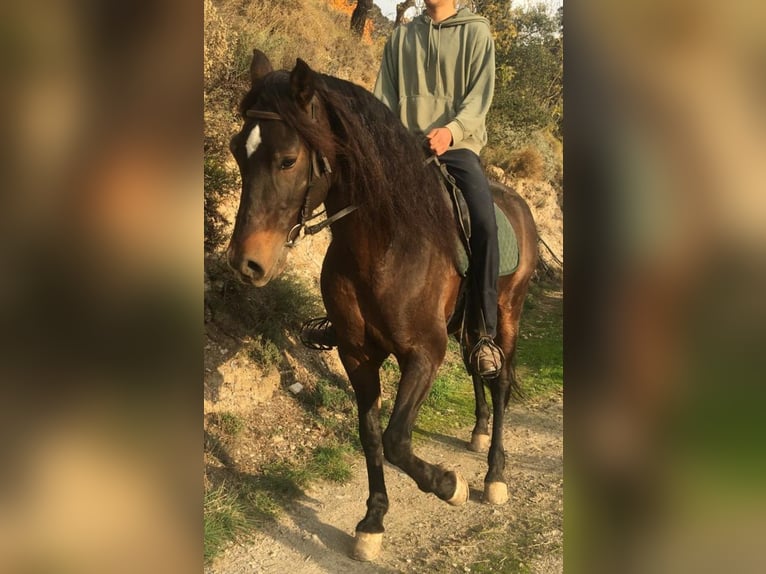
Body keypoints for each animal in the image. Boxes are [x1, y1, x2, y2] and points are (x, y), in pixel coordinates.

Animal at [226, 50, 538, 561]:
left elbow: (395, 439)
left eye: (288, 159)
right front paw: (372, 521)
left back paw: (494, 474)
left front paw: (449, 485)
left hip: (507, 316)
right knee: (478, 370)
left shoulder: (424, 353)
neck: (384, 244)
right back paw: (477, 436)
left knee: (501, 381)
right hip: (466, 325)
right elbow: (372, 436)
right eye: (237, 150)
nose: (246, 263)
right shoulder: (357, 355)